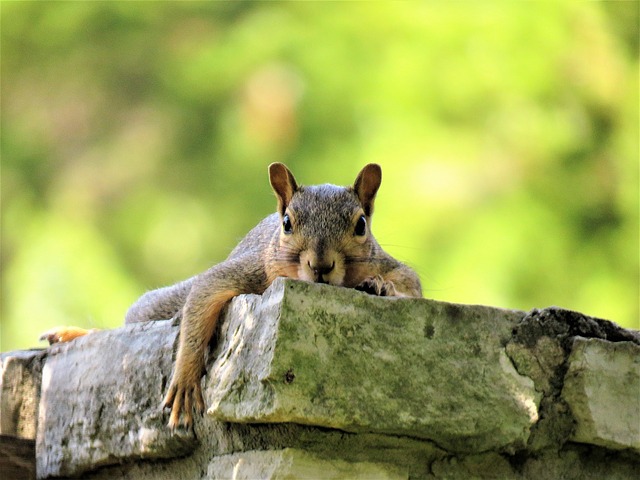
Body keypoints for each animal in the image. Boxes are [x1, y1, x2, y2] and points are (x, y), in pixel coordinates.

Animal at [41, 163, 422, 430]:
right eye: (287, 223)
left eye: (361, 225)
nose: (321, 265)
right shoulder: (250, 270)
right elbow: (203, 296)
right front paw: (185, 378)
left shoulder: (388, 264)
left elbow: (411, 285)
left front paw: (380, 286)